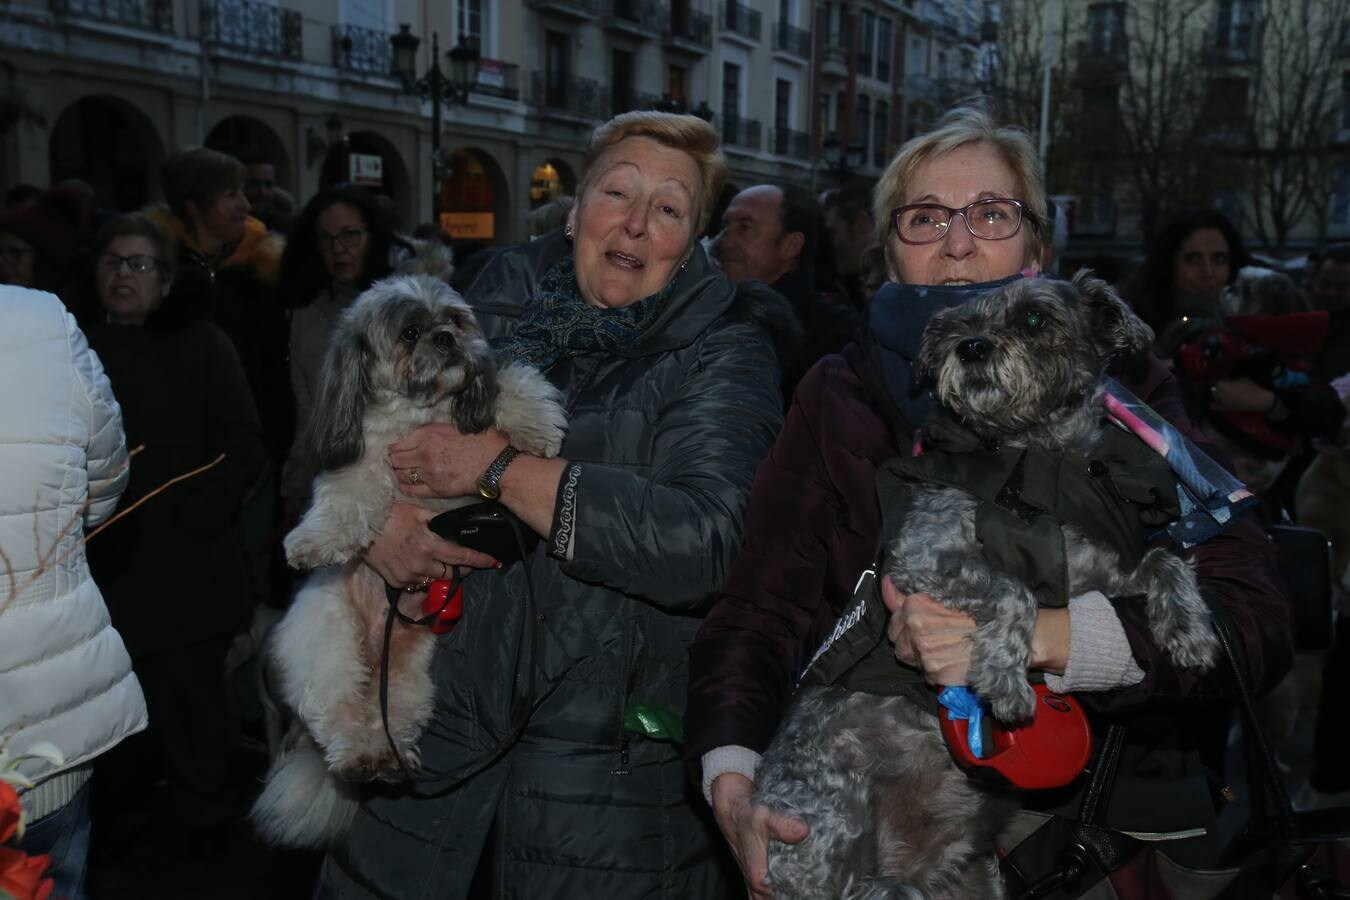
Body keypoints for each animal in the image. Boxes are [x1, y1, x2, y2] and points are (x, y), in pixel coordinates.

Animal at [761, 272, 1225, 900]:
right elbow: (1015, 589)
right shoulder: (923, 558)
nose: (972, 348)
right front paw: (1005, 680)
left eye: (1034, 318)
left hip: (976, 875)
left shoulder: (1098, 575)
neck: (1036, 457)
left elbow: (1164, 560)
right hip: (832, 827)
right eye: (961, 324)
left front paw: (1190, 629)